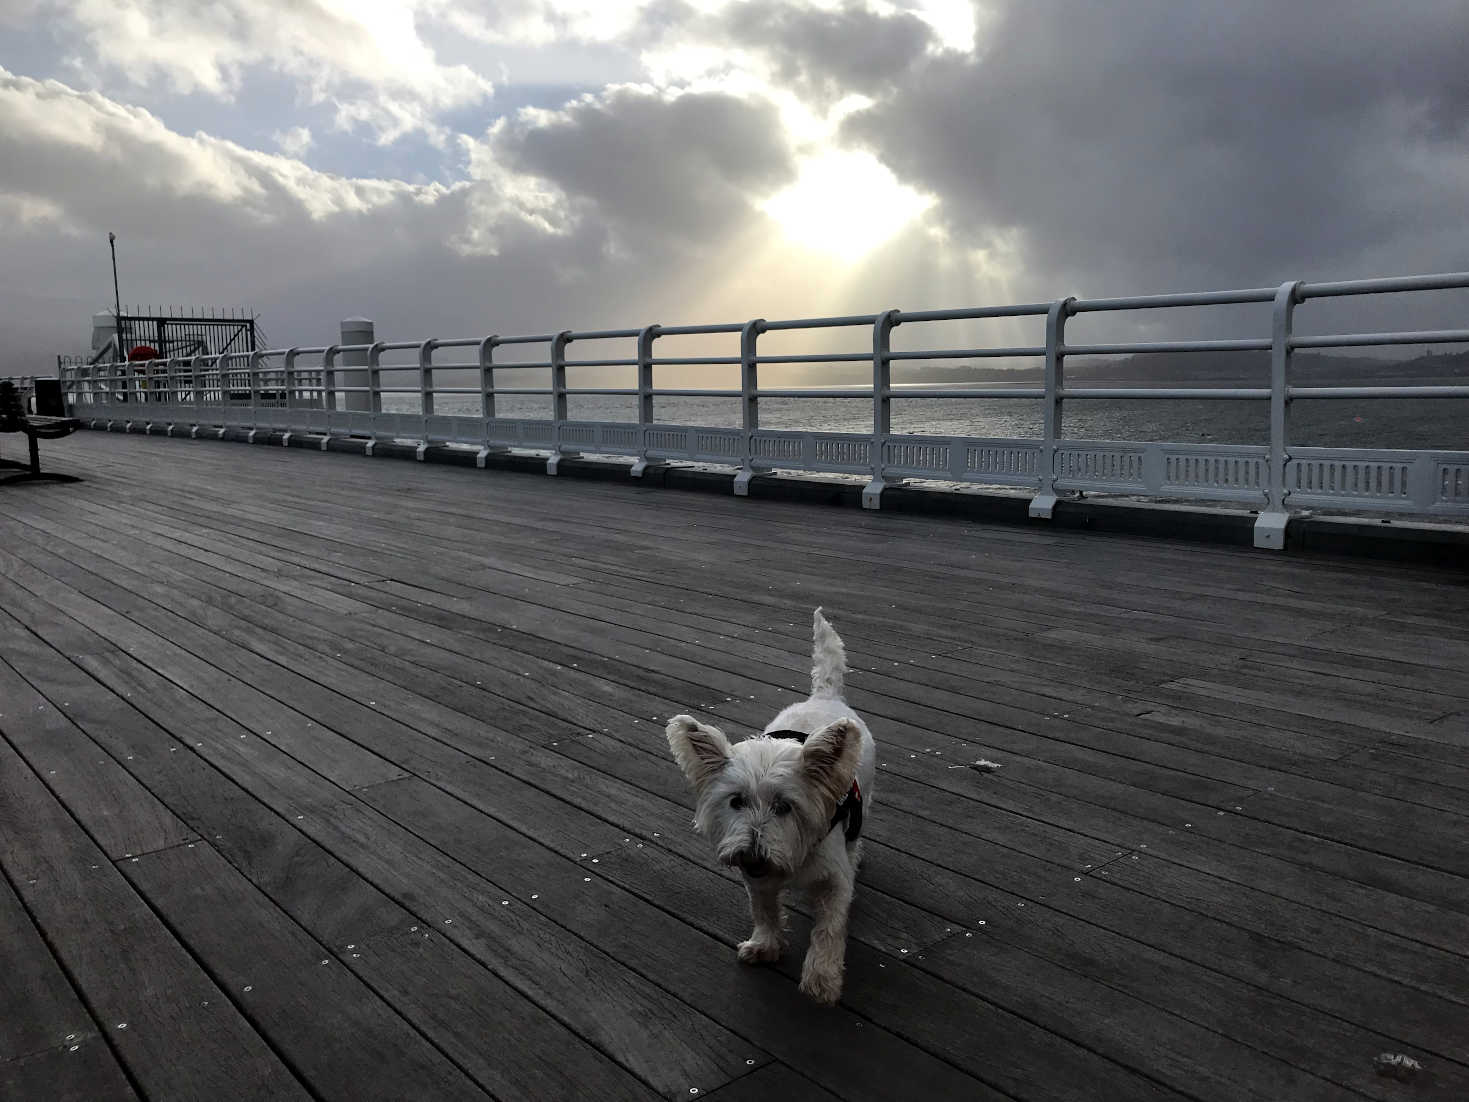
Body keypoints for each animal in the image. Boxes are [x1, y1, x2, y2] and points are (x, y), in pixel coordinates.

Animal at [672, 614, 875, 1010]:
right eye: (735, 801)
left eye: (785, 806)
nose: (752, 857)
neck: (795, 859)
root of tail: (824, 696)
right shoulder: (757, 879)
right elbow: (764, 909)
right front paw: (765, 946)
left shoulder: (834, 880)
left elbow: (828, 928)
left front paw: (821, 980)